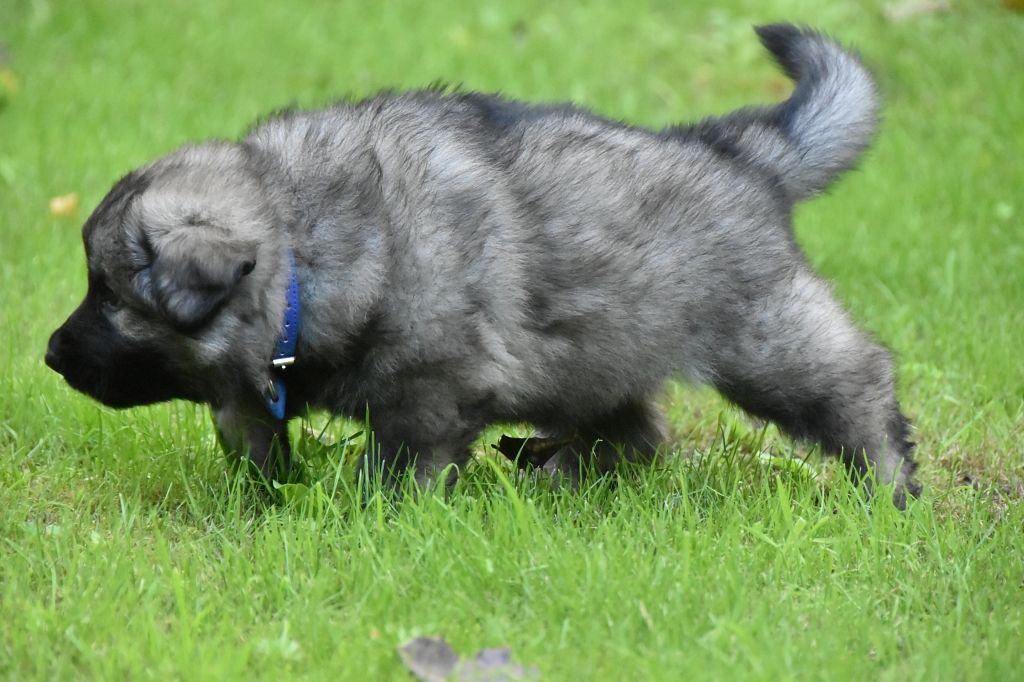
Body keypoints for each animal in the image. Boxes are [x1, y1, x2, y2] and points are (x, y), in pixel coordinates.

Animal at [45, 24, 921, 507]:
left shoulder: (428, 391)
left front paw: (372, 518)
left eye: (110, 296)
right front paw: (263, 502)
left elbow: (400, 468)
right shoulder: (254, 382)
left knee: (856, 379)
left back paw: (891, 485)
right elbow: (251, 436)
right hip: (600, 351)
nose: (51, 355)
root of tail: (740, 151)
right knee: (636, 433)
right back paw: (560, 479)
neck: (304, 244)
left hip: (763, 334)